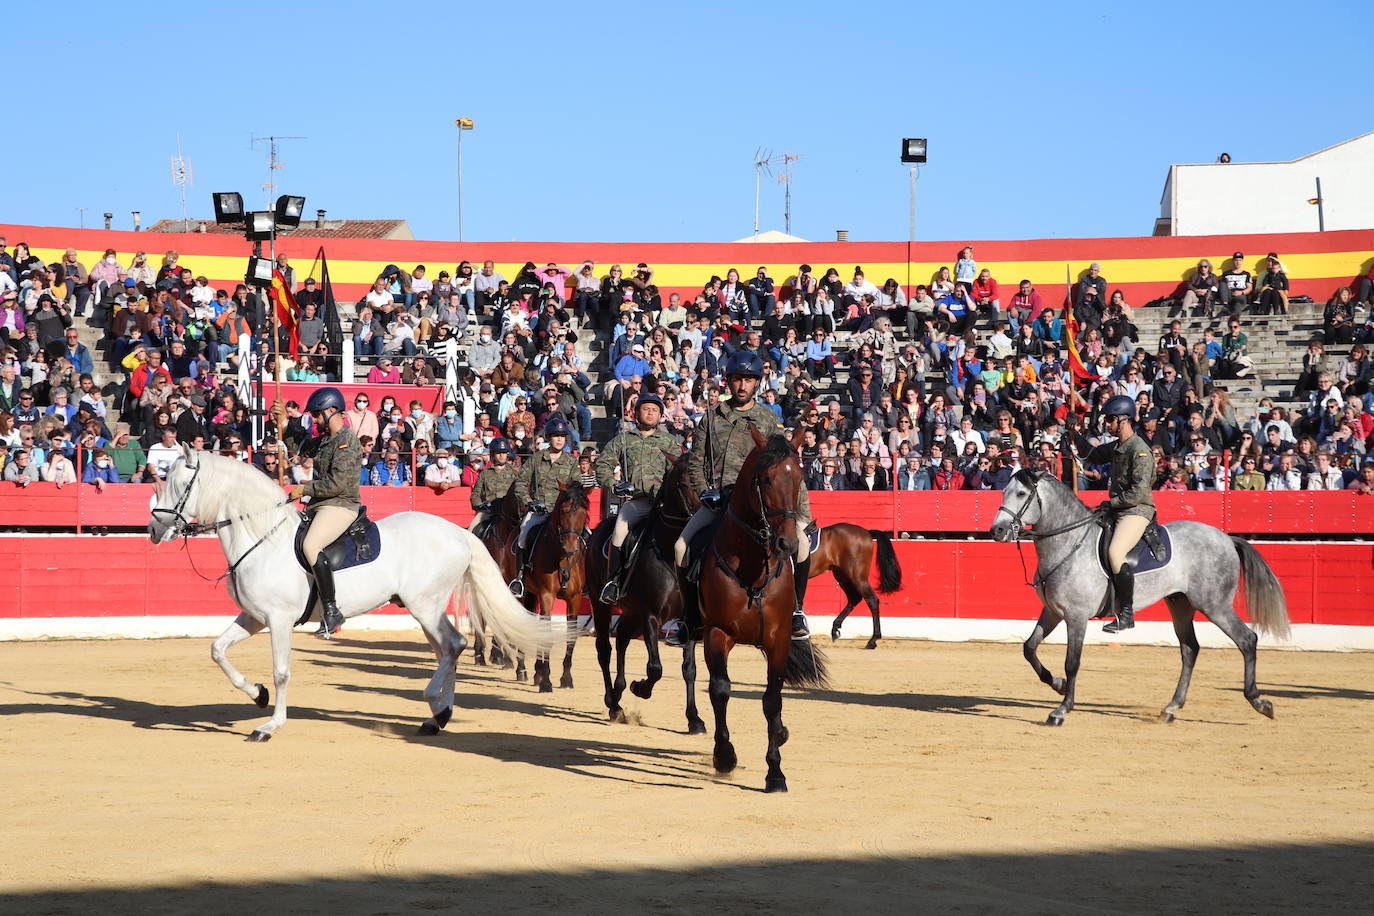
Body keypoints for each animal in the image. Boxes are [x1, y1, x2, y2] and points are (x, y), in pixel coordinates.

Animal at [147, 447, 560, 741]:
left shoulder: (279, 620)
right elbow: (218, 650)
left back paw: (436, 707)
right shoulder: (253, 617)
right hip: (426, 608)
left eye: (178, 484)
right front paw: (257, 694)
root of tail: (457, 532)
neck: (263, 537)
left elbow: (281, 672)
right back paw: (439, 717)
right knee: (448, 648)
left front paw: (269, 725)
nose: (154, 529)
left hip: (425, 605)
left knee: (452, 645)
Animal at [585, 455, 708, 736]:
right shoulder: (651, 615)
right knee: (604, 649)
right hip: (600, 604)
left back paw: (618, 692)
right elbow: (655, 668)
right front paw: (639, 687)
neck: (669, 552)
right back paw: (613, 702)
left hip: (631, 612)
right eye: (683, 484)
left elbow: (689, 669)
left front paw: (694, 719)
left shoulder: (688, 621)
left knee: (621, 640)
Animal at [697, 425, 824, 791]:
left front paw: (775, 772)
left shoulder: (778, 639)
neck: (753, 566)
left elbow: (772, 700)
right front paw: (724, 756)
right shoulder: (717, 633)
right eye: (765, 479)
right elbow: (720, 689)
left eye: (798, 477)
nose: (787, 544)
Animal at [813, 521, 901, 650]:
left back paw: (872, 640)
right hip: (842, 575)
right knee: (854, 598)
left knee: (871, 600)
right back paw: (835, 628)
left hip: (857, 576)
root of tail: (866, 532)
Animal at [989, 469, 1286, 725]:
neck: (1069, 543)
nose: (997, 531)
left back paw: (1260, 702)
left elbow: (1072, 662)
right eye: (1004, 491)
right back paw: (1171, 708)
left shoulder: (1076, 616)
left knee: (1246, 640)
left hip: (1215, 605)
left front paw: (1061, 710)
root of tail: (1226, 538)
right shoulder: (1052, 611)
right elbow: (1029, 648)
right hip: (1180, 604)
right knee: (1190, 649)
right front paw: (1058, 685)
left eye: (1020, 494)